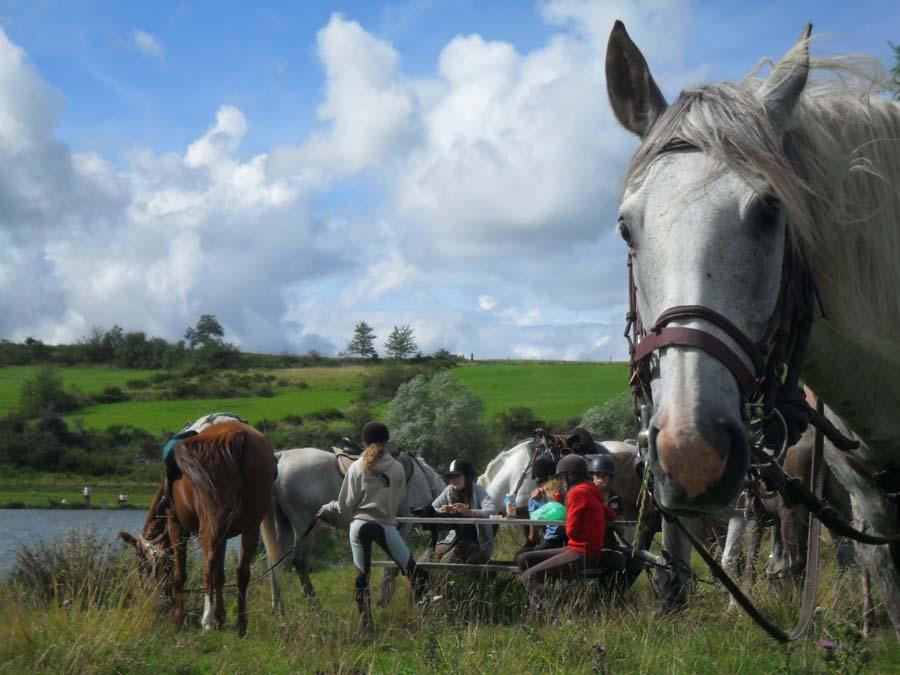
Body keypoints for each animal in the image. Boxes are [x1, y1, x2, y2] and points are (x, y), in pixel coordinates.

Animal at [119, 420, 282, 636]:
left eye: (142, 567)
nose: (157, 603)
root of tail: (236, 436)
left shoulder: (176, 526)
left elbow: (180, 575)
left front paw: (178, 619)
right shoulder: (225, 535)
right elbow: (220, 575)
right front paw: (221, 618)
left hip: (209, 522)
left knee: (208, 565)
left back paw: (207, 620)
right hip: (250, 526)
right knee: (241, 571)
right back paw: (240, 624)